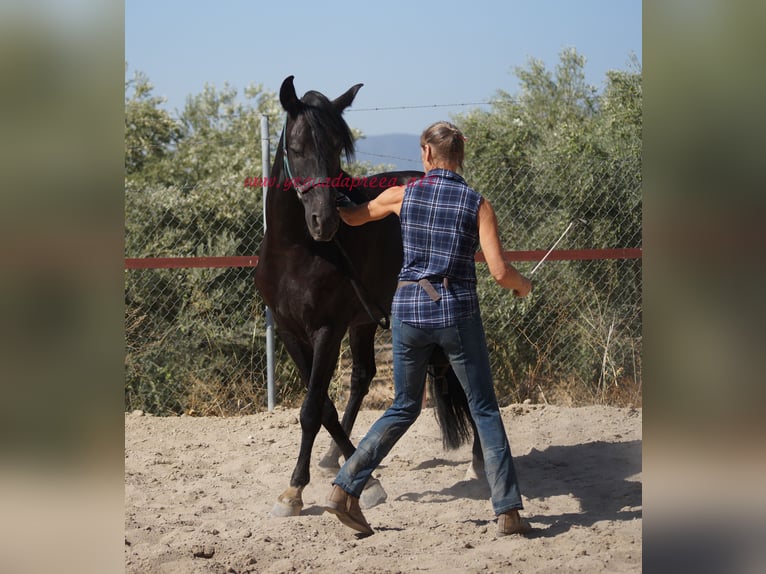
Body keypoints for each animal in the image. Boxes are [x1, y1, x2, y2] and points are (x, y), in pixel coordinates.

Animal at [255, 76, 484, 516]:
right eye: (296, 148)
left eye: (335, 148)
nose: (324, 221)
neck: (296, 250)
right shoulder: (292, 332)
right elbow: (323, 405)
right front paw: (345, 472)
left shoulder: (327, 330)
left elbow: (311, 408)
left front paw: (296, 489)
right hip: (364, 321)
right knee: (362, 377)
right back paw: (334, 457)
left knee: (469, 377)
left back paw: (480, 463)